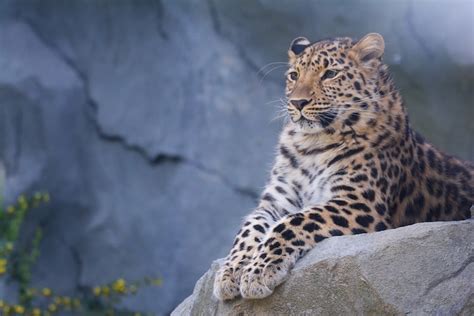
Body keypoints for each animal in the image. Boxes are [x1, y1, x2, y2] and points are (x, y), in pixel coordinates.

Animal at [213, 32, 472, 302]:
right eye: (294, 75)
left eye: (329, 74)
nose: (298, 102)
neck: (312, 144)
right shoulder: (276, 201)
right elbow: (248, 228)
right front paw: (230, 271)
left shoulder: (360, 203)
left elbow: (294, 221)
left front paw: (258, 271)